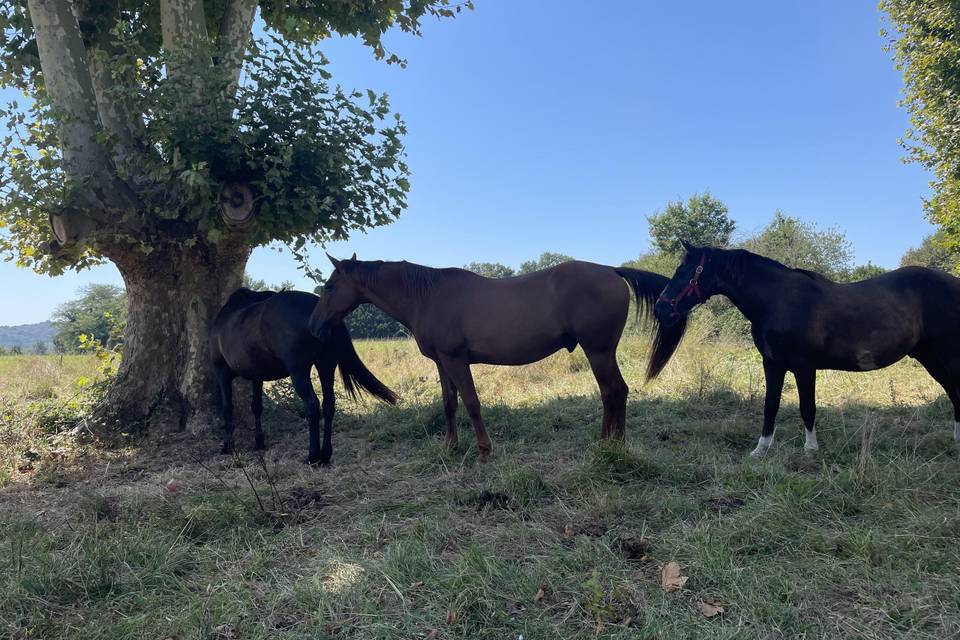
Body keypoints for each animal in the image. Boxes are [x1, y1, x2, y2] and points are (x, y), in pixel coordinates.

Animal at [211, 290, 398, 464]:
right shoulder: (257, 376)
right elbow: (256, 406)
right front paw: (259, 441)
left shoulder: (222, 372)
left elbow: (227, 407)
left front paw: (227, 446)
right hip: (326, 365)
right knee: (329, 403)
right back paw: (325, 455)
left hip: (299, 371)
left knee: (312, 404)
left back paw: (312, 456)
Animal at [308, 254, 684, 460]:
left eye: (329, 286)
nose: (314, 325)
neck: (428, 296)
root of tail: (612, 270)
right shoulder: (442, 363)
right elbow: (449, 404)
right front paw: (450, 446)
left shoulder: (456, 360)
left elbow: (472, 403)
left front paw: (484, 450)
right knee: (613, 393)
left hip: (599, 351)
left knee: (613, 392)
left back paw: (611, 446)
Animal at [656, 240, 960, 456]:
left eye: (683, 271)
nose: (661, 308)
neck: (777, 300)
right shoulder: (772, 364)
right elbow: (770, 405)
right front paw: (760, 450)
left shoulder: (804, 367)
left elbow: (807, 407)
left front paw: (810, 450)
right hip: (930, 357)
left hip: (945, 356)